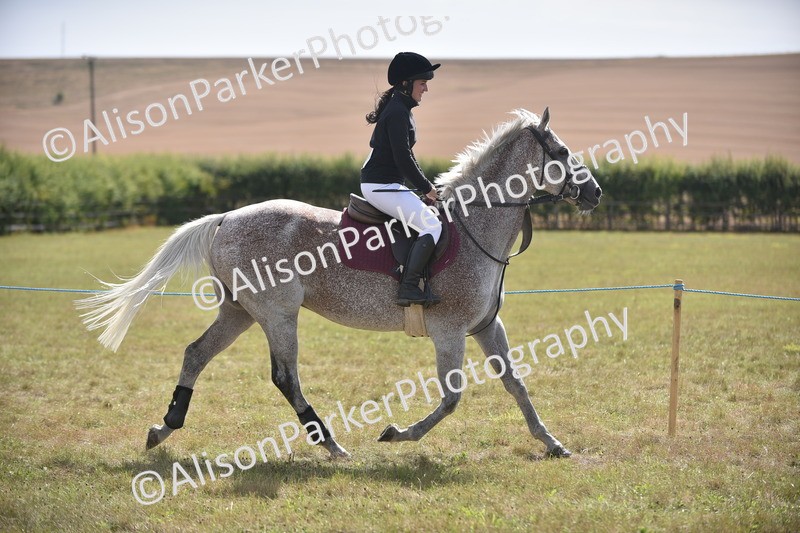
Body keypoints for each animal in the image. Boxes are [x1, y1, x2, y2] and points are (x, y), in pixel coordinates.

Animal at [77, 107, 602, 459]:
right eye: (561, 152)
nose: (595, 192)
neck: (476, 226)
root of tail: (227, 218)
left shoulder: (486, 326)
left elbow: (516, 384)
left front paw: (552, 443)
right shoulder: (449, 331)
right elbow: (452, 398)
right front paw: (397, 434)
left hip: (240, 311)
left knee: (196, 354)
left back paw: (164, 428)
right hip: (277, 313)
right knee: (285, 376)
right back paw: (330, 444)